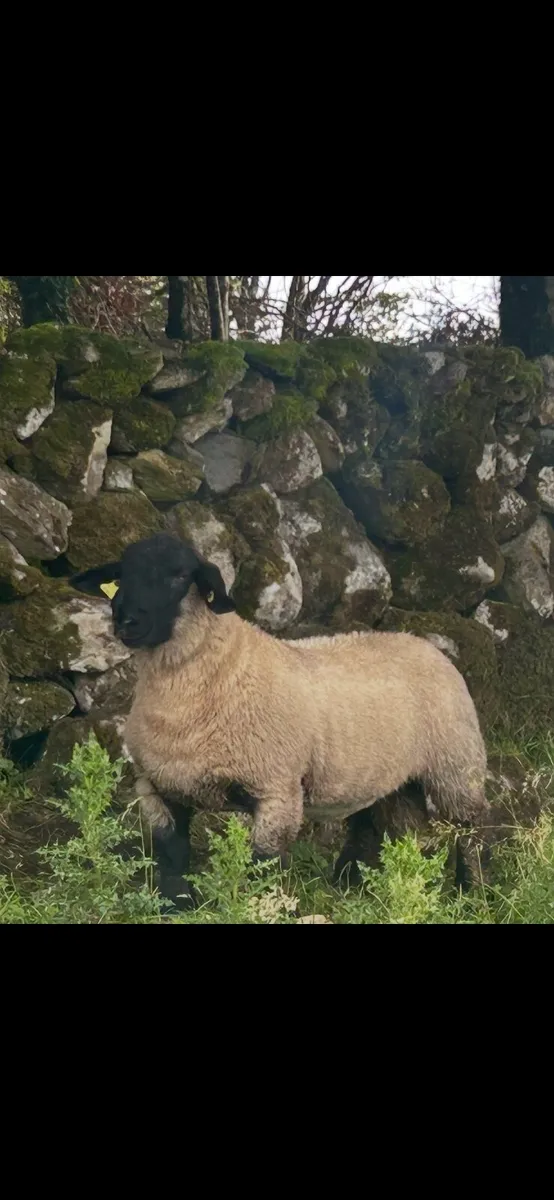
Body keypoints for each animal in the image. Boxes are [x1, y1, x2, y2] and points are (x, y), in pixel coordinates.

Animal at [71, 532, 489, 907]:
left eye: (180, 575)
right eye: (121, 574)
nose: (125, 620)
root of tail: (423, 643)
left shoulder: (277, 789)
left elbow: (263, 865)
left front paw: (258, 907)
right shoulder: (159, 788)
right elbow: (172, 856)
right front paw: (175, 905)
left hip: (456, 767)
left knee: (471, 832)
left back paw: (471, 892)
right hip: (389, 778)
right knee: (377, 827)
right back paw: (362, 885)